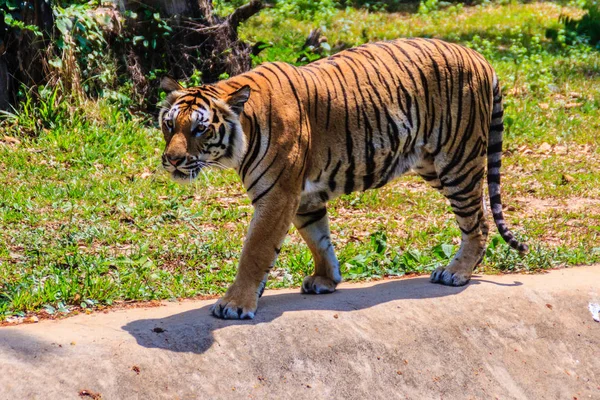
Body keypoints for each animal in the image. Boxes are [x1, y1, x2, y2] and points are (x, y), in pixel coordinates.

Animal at [159, 37, 528, 318]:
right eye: (169, 124)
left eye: (200, 129)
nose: (172, 160)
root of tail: (479, 57)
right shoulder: (303, 197)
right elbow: (318, 239)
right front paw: (326, 279)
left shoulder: (277, 196)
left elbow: (256, 251)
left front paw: (235, 304)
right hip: (432, 165)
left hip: (457, 161)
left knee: (477, 222)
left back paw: (456, 273)